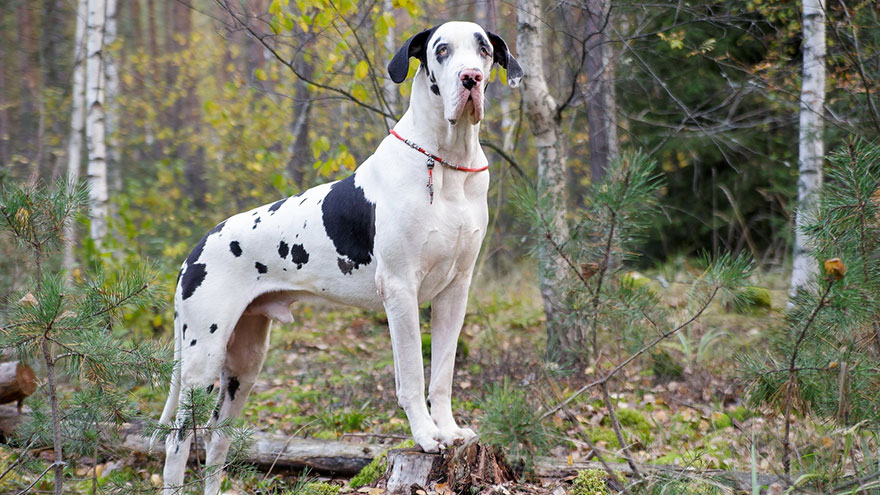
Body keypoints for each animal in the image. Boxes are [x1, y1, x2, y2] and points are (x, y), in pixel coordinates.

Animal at [158, 22, 524, 492]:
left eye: (483, 50)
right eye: (442, 50)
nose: (470, 79)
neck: (446, 164)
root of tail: (195, 249)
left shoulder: (455, 290)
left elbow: (441, 374)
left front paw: (449, 429)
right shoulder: (400, 291)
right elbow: (412, 376)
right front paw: (426, 437)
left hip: (244, 363)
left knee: (218, 440)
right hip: (202, 359)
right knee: (178, 442)